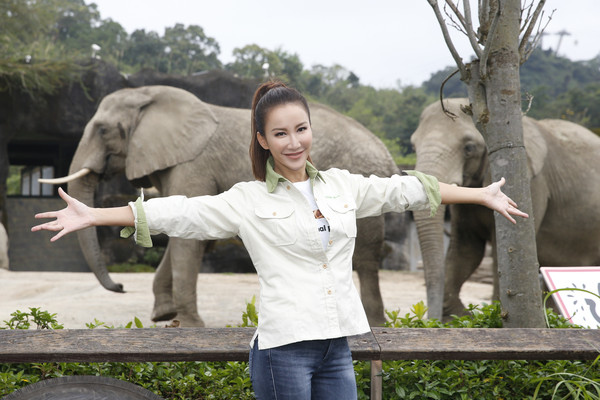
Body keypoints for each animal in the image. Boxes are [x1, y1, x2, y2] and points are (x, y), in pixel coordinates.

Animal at [410, 97, 600, 318]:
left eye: (469, 148)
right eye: (413, 146)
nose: (431, 318)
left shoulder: (531, 184)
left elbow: (500, 251)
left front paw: (494, 313)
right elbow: (466, 249)